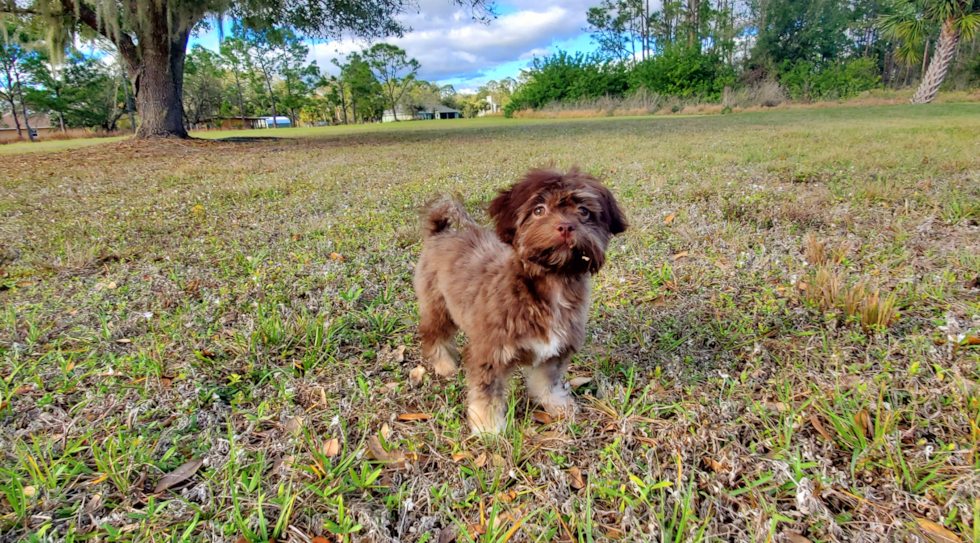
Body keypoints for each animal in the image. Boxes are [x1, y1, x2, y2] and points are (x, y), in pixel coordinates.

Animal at [414, 166, 628, 434]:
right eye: (539, 210)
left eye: (583, 211)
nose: (566, 226)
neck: (552, 284)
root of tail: (440, 232)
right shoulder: (490, 353)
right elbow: (486, 394)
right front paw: (488, 428)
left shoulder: (554, 351)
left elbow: (547, 383)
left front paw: (558, 406)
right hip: (438, 306)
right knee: (434, 335)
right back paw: (445, 366)